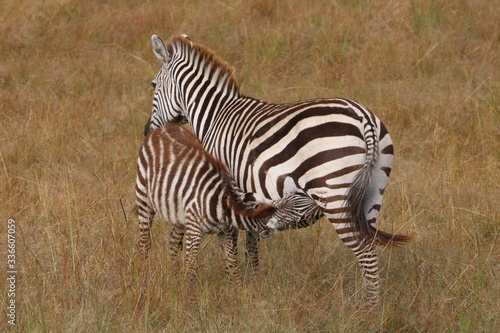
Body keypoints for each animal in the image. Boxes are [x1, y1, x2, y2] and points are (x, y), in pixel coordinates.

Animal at [145, 33, 410, 304]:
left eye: (153, 85)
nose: (148, 131)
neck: (214, 116)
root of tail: (364, 117)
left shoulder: (223, 187)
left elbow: (230, 239)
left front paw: (234, 283)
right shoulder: (249, 193)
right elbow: (251, 241)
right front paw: (253, 281)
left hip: (335, 194)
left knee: (364, 249)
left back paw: (369, 307)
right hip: (371, 193)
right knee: (371, 243)